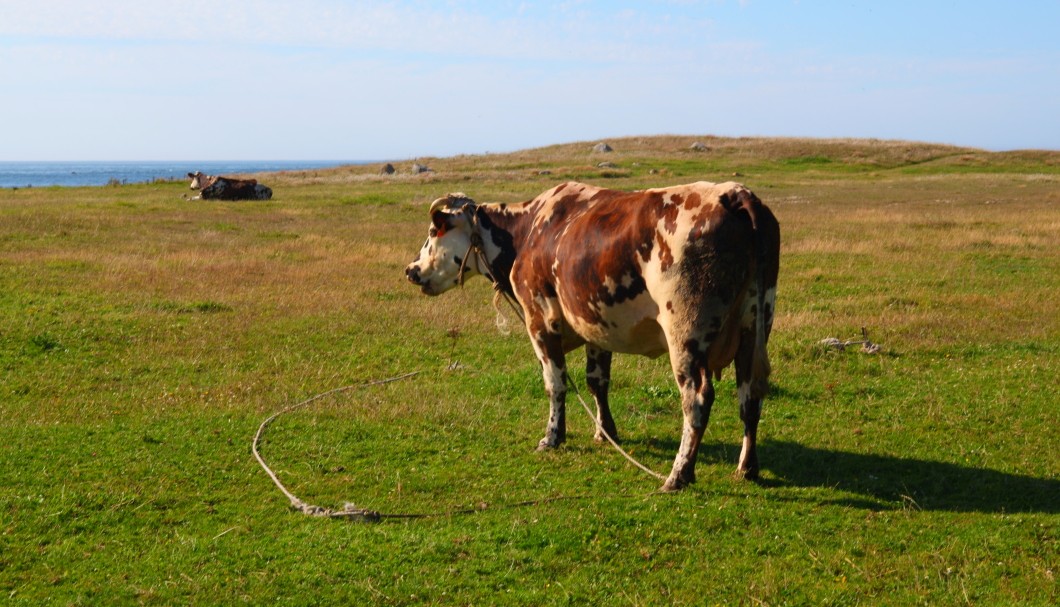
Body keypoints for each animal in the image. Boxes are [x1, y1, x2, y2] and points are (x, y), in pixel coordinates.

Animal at [404, 181, 780, 491]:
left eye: (433, 231)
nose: (411, 270)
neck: (527, 232)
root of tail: (733, 194)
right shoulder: (595, 327)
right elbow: (597, 382)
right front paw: (605, 431)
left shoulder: (540, 320)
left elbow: (555, 383)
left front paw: (553, 436)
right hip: (754, 326)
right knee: (750, 395)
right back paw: (747, 467)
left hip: (686, 332)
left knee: (697, 399)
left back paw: (678, 474)